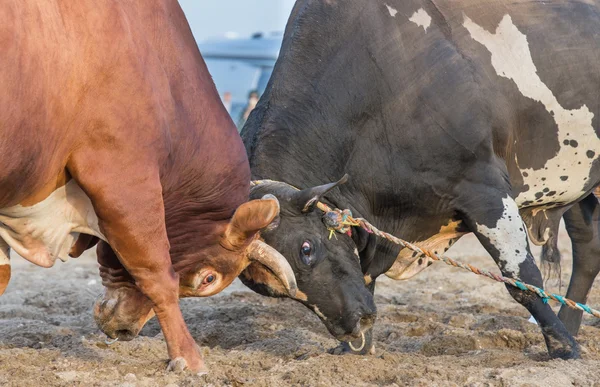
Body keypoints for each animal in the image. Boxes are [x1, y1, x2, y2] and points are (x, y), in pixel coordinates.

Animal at [239, 0, 600, 360]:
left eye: (306, 249)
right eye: (272, 291)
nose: (354, 324)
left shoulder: (483, 189)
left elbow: (522, 280)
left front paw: (563, 348)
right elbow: (365, 277)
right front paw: (355, 350)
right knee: (588, 246)